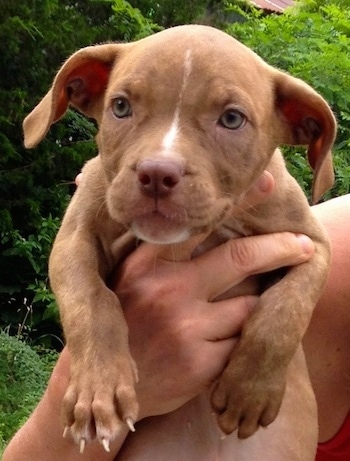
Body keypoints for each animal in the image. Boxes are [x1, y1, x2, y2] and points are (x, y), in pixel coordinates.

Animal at [22, 23, 336, 452]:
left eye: (232, 119)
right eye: (121, 107)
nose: (156, 173)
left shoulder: (312, 243)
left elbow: (288, 307)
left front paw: (248, 391)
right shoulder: (75, 236)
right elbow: (90, 299)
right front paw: (97, 390)